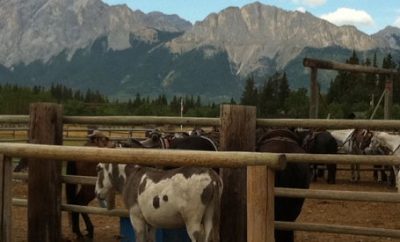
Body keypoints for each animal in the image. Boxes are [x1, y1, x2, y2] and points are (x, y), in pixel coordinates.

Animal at [95, 163, 223, 242]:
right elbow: (151, 239)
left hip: (192, 219)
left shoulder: (136, 217)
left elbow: (140, 238)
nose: (96, 193)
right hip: (209, 214)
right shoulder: (151, 222)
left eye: (98, 169)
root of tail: (211, 176)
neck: (129, 177)